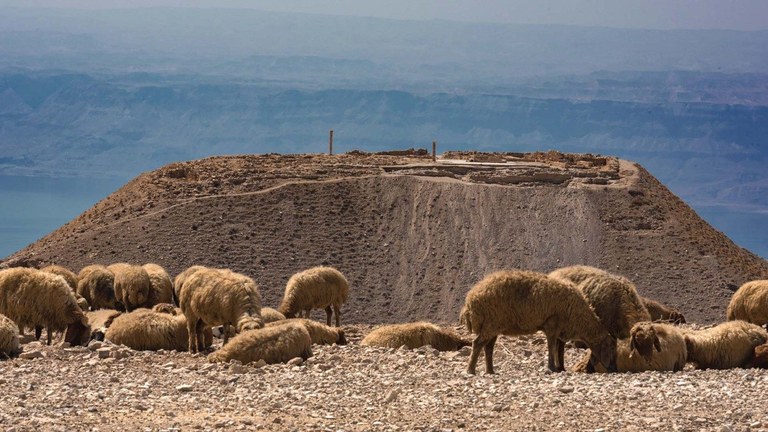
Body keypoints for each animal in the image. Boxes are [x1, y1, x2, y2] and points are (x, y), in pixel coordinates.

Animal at [456, 270, 616, 374]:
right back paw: (471, 370)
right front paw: (552, 367)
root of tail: (469, 301)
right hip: (490, 324)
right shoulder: (552, 325)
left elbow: (559, 349)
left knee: (488, 347)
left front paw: (561, 368)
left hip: (493, 326)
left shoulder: (560, 330)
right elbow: (552, 347)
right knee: (477, 343)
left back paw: (490, 371)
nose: (611, 368)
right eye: (609, 347)